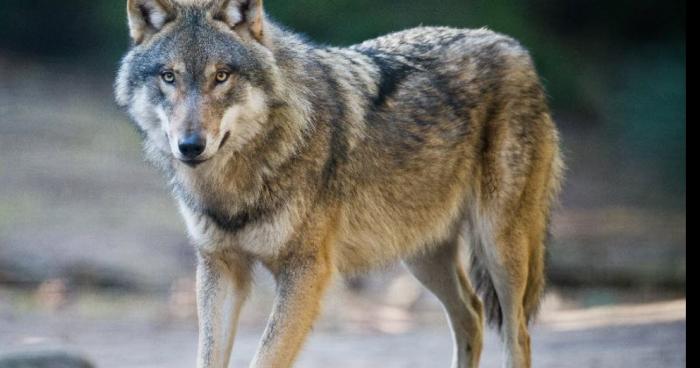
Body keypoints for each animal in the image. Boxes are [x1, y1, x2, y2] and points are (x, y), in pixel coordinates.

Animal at [115, 0, 564, 366]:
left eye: (221, 76)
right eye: (168, 76)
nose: (190, 146)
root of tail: (513, 46)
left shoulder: (306, 272)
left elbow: (265, 358)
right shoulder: (220, 267)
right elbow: (209, 356)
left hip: (499, 248)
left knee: (518, 334)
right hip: (420, 253)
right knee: (471, 315)